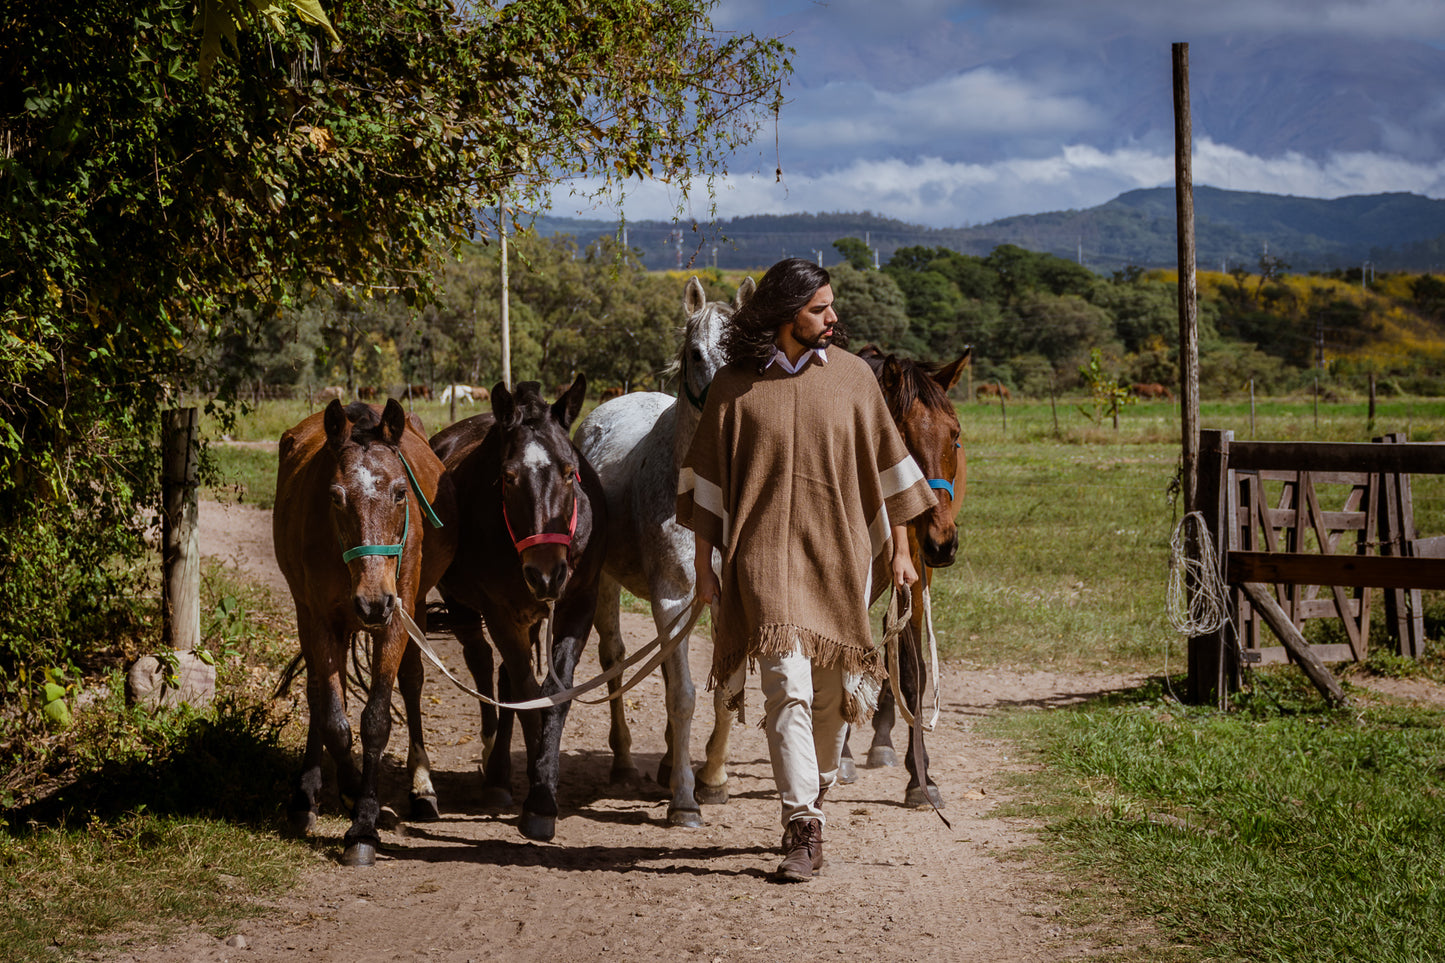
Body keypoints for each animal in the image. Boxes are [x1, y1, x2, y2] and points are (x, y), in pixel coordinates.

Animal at [270, 396, 450, 861]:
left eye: (401, 492)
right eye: (335, 496)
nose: (372, 601)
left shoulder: (396, 619)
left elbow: (376, 720)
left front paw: (365, 823)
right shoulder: (320, 619)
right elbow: (335, 721)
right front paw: (352, 797)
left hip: (412, 609)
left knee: (412, 682)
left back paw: (422, 787)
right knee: (317, 691)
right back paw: (305, 796)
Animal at [427, 375, 609, 838]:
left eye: (569, 472)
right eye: (507, 477)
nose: (546, 573)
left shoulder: (578, 606)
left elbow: (554, 694)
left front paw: (543, 784)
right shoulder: (499, 612)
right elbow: (528, 695)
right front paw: (538, 798)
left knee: (506, 675)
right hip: (465, 608)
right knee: (482, 665)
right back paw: (496, 772)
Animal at [849, 341, 965, 803]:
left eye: (954, 435)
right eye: (900, 436)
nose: (943, 541)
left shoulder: (914, 567)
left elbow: (914, 672)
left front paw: (921, 777)